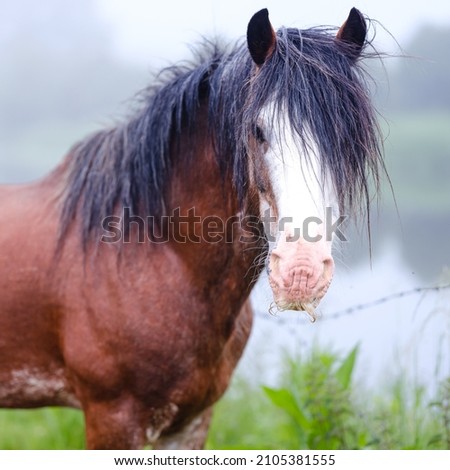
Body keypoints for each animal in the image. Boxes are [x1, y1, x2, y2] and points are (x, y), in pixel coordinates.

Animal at [0, 7, 384, 448]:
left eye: (349, 135)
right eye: (257, 130)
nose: (300, 272)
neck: (160, 254)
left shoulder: (190, 422)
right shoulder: (112, 420)